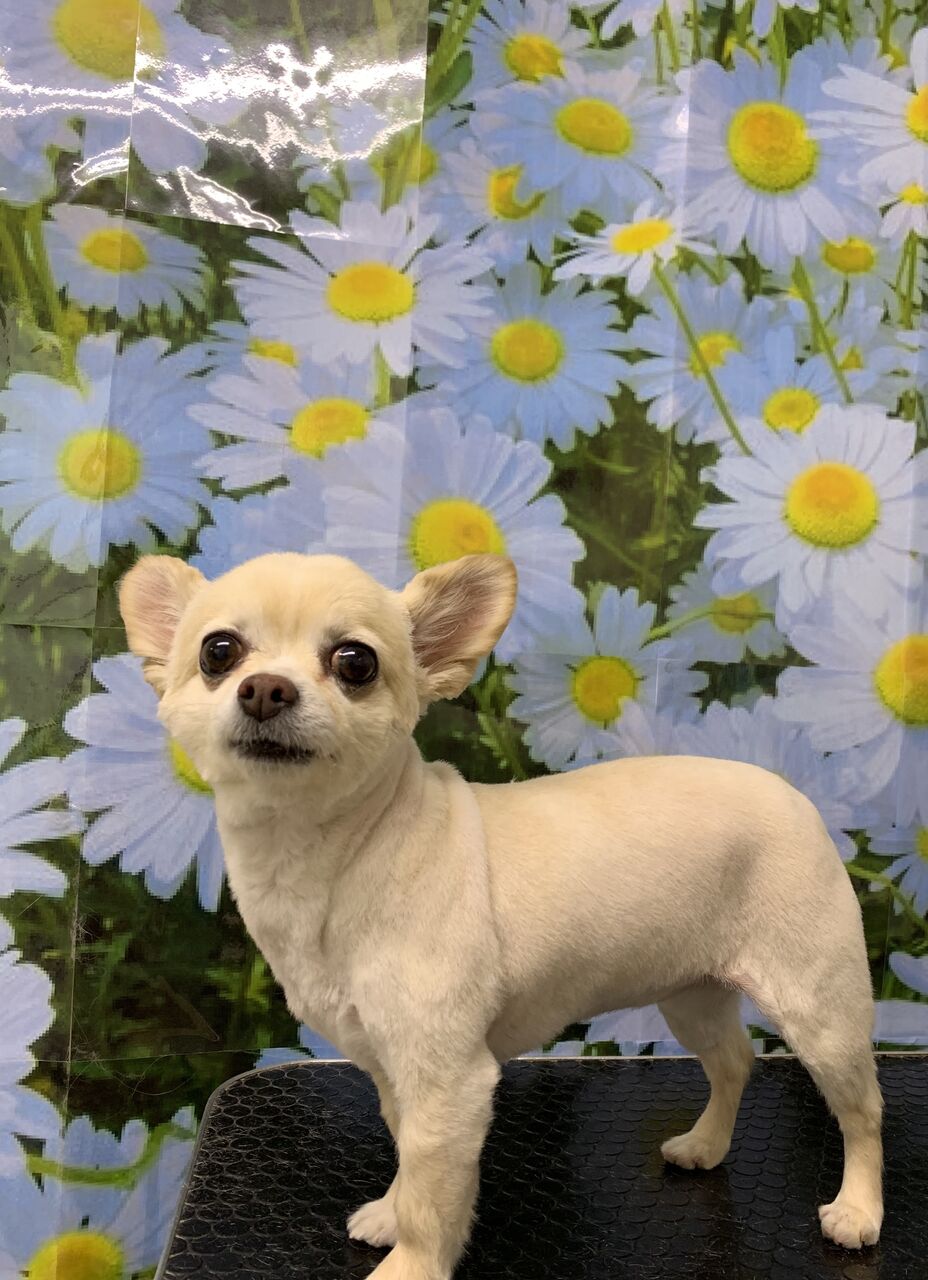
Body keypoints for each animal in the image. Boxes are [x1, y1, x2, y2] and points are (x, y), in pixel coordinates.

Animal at [119, 550, 883, 1279]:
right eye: (219, 652)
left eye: (355, 662)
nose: (265, 688)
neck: (333, 859)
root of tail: (791, 793)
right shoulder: (393, 1067)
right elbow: (409, 1159)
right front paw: (391, 1214)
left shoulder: (449, 1082)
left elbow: (433, 1196)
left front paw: (411, 1264)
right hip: (692, 995)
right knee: (733, 1064)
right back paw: (706, 1144)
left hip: (819, 1011)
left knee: (863, 1111)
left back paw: (859, 1211)